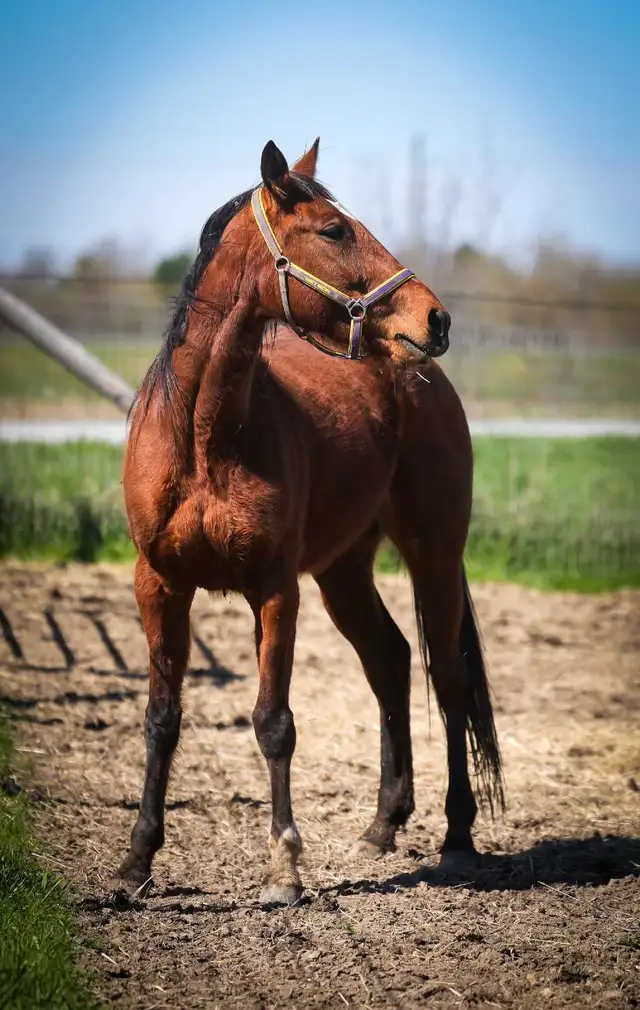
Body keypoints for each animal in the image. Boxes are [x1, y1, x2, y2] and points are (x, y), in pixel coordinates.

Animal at [119, 138, 503, 905]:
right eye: (333, 230)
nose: (435, 320)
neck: (204, 436)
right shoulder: (160, 585)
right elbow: (162, 720)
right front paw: (137, 862)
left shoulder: (275, 589)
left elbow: (274, 723)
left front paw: (284, 866)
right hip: (343, 572)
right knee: (390, 659)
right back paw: (383, 826)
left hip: (434, 556)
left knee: (447, 681)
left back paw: (456, 837)